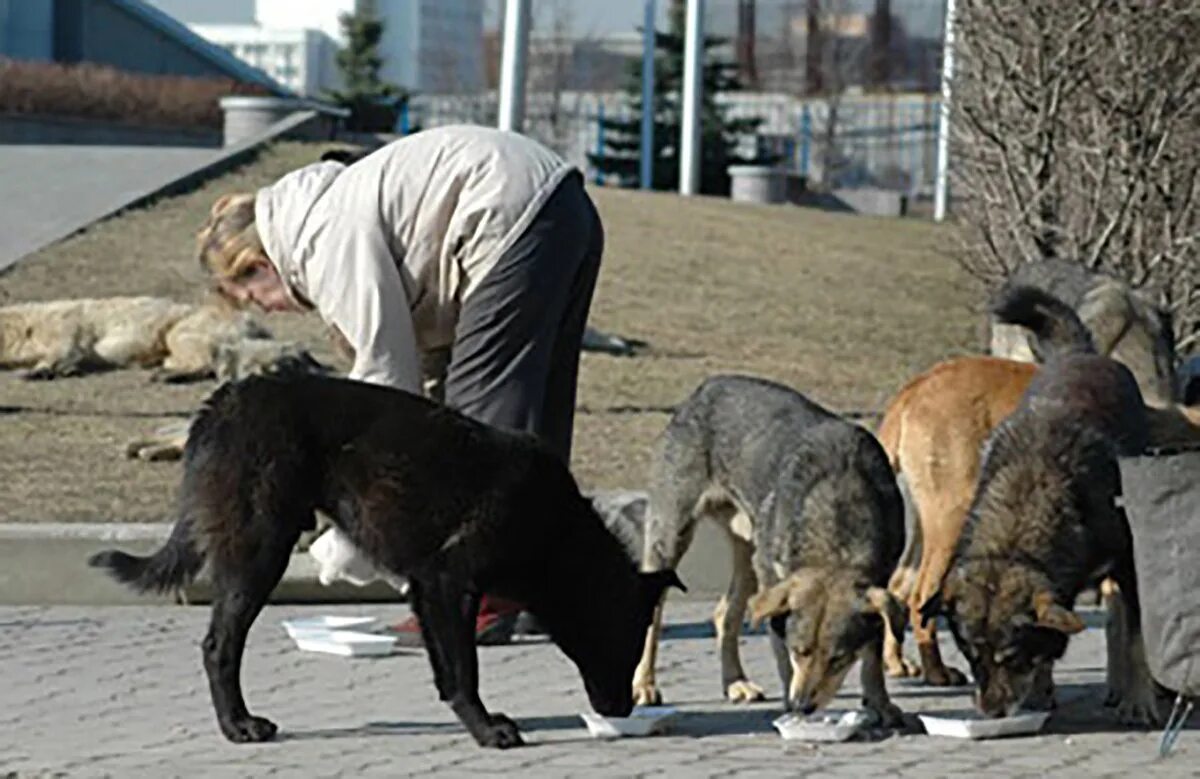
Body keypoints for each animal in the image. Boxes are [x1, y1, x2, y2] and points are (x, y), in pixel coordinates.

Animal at [91, 374, 686, 748]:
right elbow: (465, 667)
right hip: (261, 554)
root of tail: (226, 399)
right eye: (629, 642)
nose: (624, 711)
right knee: (219, 647)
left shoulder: (429, 590)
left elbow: (448, 670)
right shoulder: (449, 583)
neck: (556, 529)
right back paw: (238, 725)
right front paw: (487, 731)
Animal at [633, 374, 902, 724]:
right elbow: (779, 647)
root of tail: (707, 386)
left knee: (725, 614)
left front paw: (879, 702)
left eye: (838, 659)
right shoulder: (776, 584)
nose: (802, 705)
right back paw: (644, 685)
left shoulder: (881, 581)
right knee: (654, 617)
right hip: (671, 539)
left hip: (748, 552)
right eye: (800, 650)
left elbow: (874, 649)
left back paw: (735, 681)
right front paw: (789, 699)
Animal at [916, 284, 1161, 724]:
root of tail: (1077, 353)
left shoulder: (1129, 561)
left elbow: (1136, 636)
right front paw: (1040, 690)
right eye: (972, 657)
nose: (991, 712)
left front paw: (1140, 701)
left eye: (1012, 657)